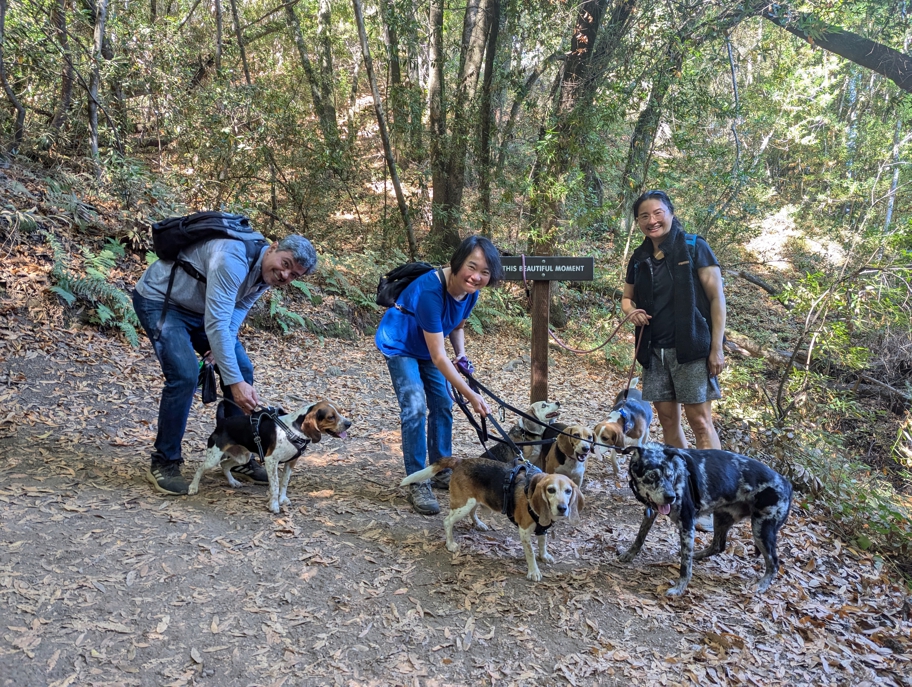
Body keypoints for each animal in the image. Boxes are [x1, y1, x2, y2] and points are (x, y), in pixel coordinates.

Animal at [400, 456, 584, 580]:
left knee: (473, 513)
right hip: (464, 504)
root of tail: (461, 461)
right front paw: (534, 571)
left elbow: (542, 543)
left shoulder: (542, 528)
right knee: (447, 521)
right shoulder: (524, 531)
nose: (562, 508)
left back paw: (479, 524)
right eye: (551, 490)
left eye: (568, 491)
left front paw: (544, 555)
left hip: (475, 501)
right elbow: (531, 552)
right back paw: (450, 543)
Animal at [620, 446, 792, 596]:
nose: (671, 497)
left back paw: (762, 585)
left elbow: (685, 566)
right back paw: (697, 554)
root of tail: (788, 484)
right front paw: (629, 554)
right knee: (718, 546)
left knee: (774, 563)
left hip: (761, 530)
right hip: (722, 517)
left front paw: (679, 588)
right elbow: (640, 536)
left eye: (670, 475)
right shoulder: (651, 513)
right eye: (652, 476)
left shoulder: (687, 524)